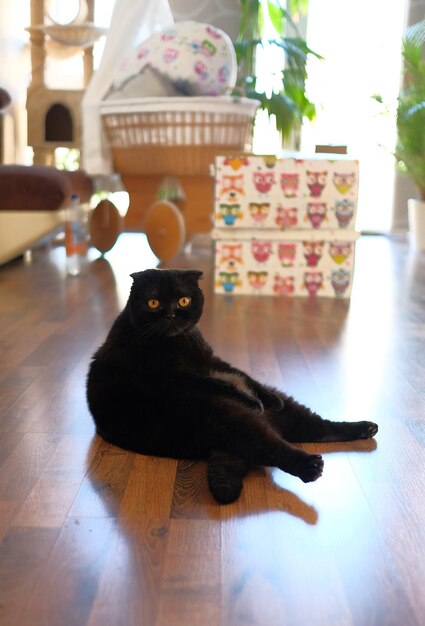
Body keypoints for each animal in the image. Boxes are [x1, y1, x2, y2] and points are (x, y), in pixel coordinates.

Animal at [87, 268, 378, 502]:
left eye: (184, 300)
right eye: (153, 302)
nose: (170, 315)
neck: (180, 343)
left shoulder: (212, 360)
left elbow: (242, 375)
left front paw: (267, 399)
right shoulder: (175, 376)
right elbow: (220, 384)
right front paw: (252, 399)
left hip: (283, 414)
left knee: (320, 428)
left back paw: (366, 428)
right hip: (230, 420)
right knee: (274, 448)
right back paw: (309, 465)